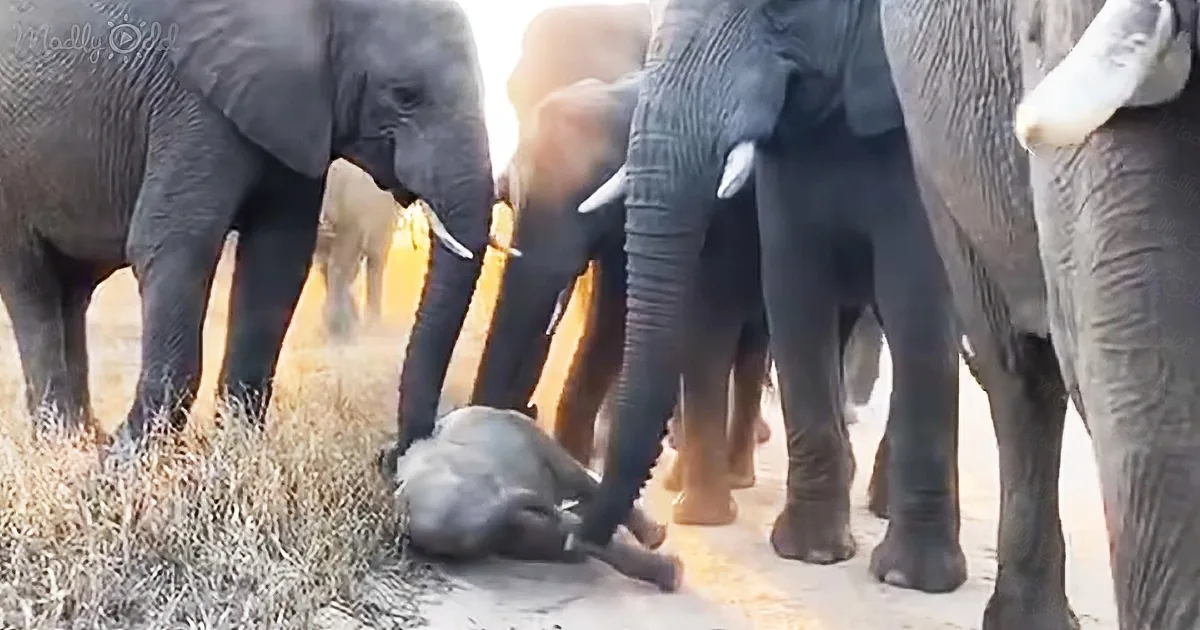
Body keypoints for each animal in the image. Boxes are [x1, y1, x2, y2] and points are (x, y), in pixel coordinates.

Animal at [313, 159, 406, 342]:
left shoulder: (353, 215)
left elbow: (341, 265)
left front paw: (340, 333)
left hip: (382, 219)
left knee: (374, 262)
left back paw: (372, 328)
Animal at [472, 74, 771, 525]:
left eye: (588, 199)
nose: (527, 411)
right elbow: (613, 321)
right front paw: (577, 468)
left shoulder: (727, 212)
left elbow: (708, 324)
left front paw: (703, 517)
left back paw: (727, 482)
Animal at [573, 0, 966, 595]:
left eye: (783, 8)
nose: (574, 531)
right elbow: (794, 289)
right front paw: (810, 553)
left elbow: (916, 294)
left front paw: (910, 579)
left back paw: (885, 512)